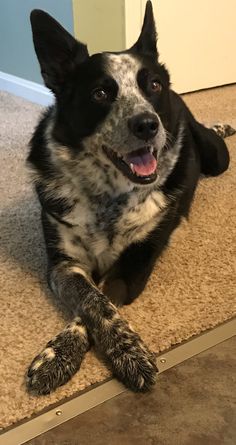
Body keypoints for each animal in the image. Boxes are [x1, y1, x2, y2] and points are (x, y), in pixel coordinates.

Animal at [26, 0, 231, 396]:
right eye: (100, 94)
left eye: (152, 85)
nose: (148, 124)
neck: (109, 195)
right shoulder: (63, 263)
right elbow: (92, 300)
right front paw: (57, 357)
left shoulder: (135, 263)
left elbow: (103, 300)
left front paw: (128, 353)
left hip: (217, 158)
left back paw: (223, 125)